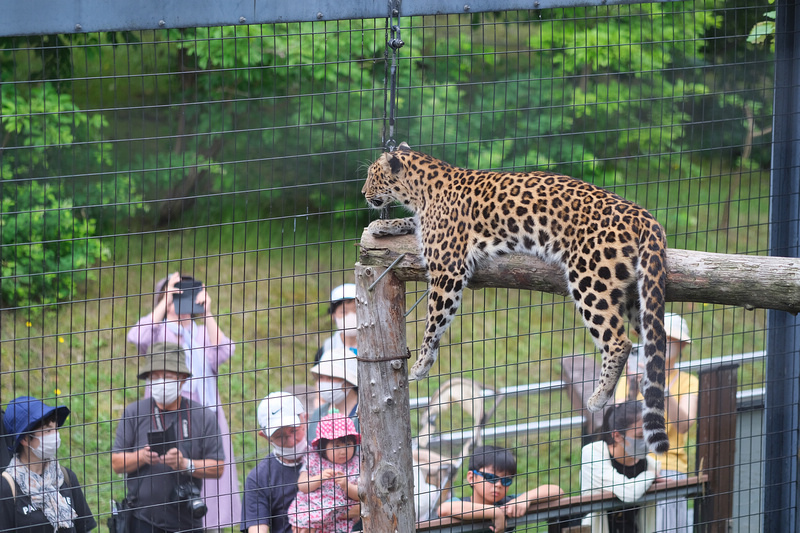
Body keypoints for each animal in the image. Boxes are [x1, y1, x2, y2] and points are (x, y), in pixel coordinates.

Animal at [366, 142, 672, 454]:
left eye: (372, 175)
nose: (365, 194)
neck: (424, 188)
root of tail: (641, 212)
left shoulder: (447, 269)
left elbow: (434, 320)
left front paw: (421, 363)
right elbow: (411, 222)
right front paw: (383, 225)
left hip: (591, 280)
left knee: (619, 342)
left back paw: (599, 397)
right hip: (636, 297)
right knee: (654, 340)